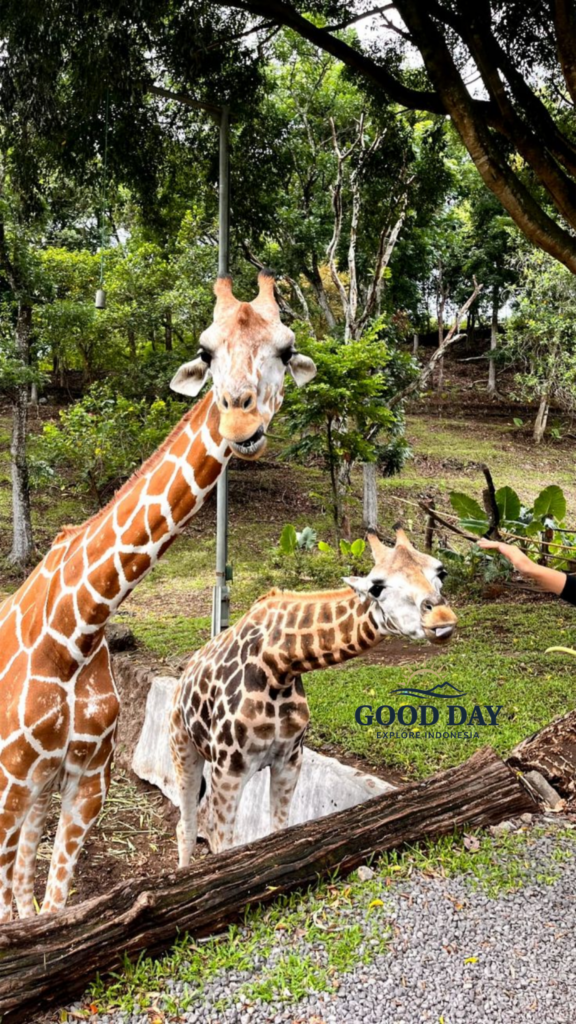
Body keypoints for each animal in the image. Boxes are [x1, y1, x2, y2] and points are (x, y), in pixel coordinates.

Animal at [0, 271, 316, 923]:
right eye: (206, 351)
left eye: (285, 346)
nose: (241, 428)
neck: (77, 626)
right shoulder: (8, 782)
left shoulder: (84, 778)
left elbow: (55, 899)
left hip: (37, 789)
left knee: (22, 874)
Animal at [170, 527, 457, 862]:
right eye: (376, 587)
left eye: (441, 571)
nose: (441, 618)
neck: (278, 666)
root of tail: (184, 674)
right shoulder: (228, 769)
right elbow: (222, 846)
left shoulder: (289, 760)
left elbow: (277, 835)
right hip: (183, 747)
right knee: (186, 827)